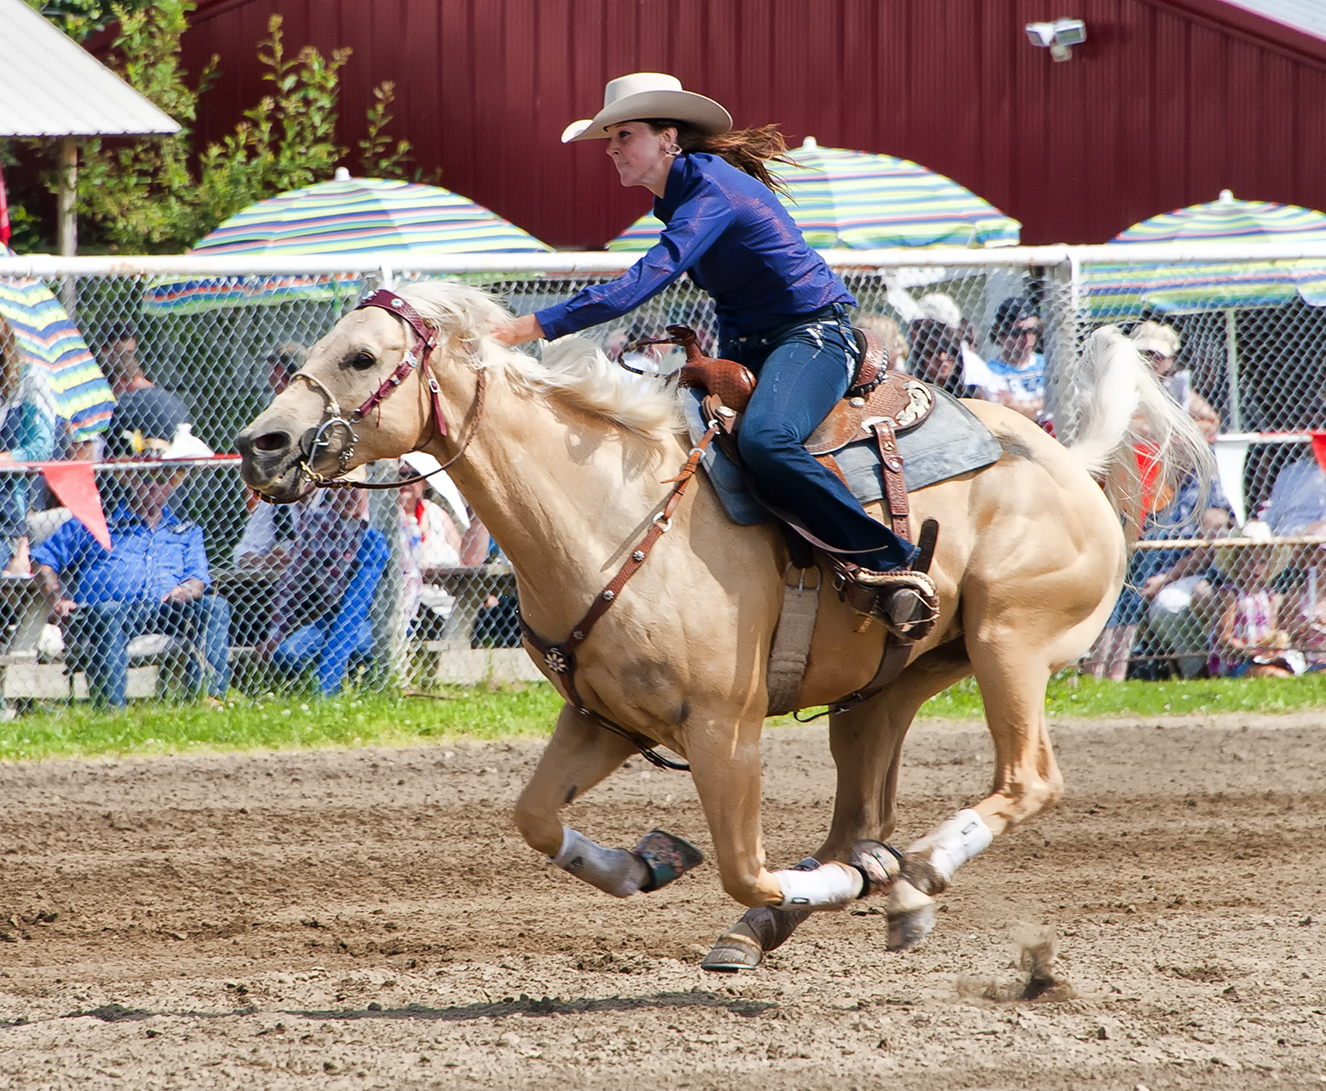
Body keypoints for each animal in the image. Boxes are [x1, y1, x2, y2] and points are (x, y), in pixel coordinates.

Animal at [233, 283, 1209, 970]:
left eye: (362, 356)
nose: (261, 446)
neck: (611, 507)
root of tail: (1065, 457)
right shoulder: (603, 718)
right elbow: (535, 817)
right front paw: (648, 861)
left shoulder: (724, 727)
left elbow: (747, 859)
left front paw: (844, 884)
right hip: (888, 688)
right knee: (861, 812)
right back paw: (830, 903)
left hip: (1012, 644)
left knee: (1025, 780)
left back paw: (912, 872)